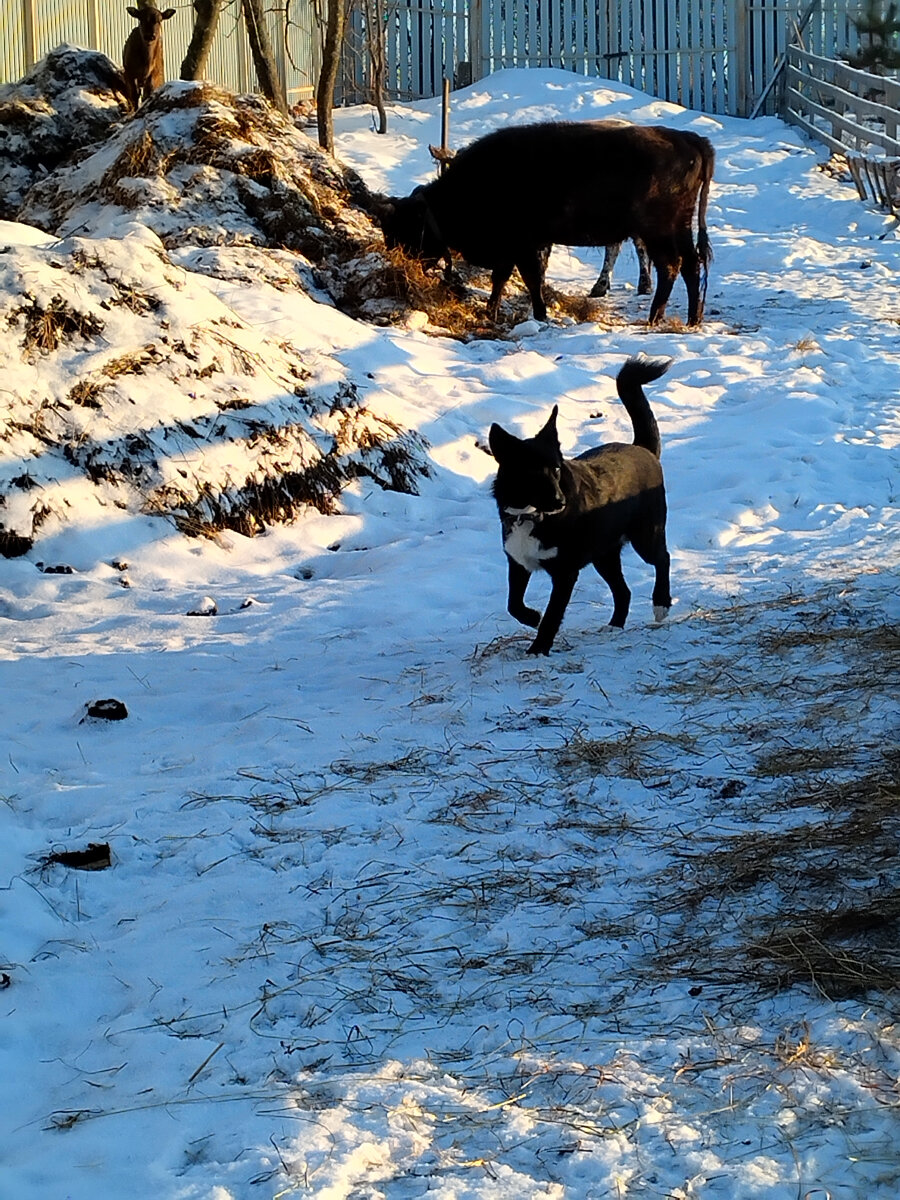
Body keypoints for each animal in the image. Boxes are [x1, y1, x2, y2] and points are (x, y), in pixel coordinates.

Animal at [376, 120, 715, 326]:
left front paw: (539, 315)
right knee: (690, 265)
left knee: (671, 266)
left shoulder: (523, 243)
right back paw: (691, 319)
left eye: (406, 228)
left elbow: (530, 278)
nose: (399, 261)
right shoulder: (515, 247)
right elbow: (504, 278)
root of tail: (689, 139)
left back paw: (655, 317)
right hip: (680, 226)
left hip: (658, 230)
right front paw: (492, 311)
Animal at [489, 355, 672, 657]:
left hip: (646, 534)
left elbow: (552, 615)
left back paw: (661, 604)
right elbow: (513, 604)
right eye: (531, 474)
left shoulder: (565, 573)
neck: (532, 517)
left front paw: (538, 647)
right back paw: (615, 625)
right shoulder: (518, 562)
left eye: (556, 469)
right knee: (623, 590)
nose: (559, 502)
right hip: (604, 554)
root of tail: (643, 449)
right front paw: (532, 617)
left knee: (662, 559)